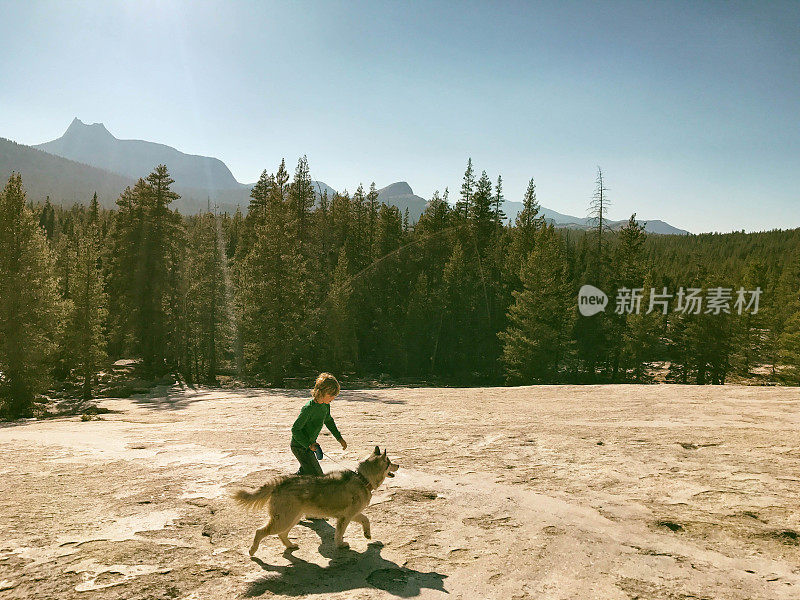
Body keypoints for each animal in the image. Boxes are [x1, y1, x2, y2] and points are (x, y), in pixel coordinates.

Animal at [236, 446, 400, 552]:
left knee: (282, 534)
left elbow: (366, 520)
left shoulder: (352, 514)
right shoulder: (345, 517)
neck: (363, 478)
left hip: (292, 518)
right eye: (390, 462)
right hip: (284, 519)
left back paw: (290, 545)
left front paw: (367, 534)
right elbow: (339, 533)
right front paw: (340, 545)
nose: (398, 465)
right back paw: (253, 550)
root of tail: (280, 481)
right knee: (260, 531)